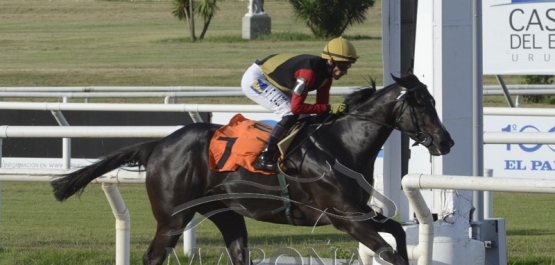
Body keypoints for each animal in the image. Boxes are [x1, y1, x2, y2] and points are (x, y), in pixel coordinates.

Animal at [50, 72, 454, 264]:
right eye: (421, 103)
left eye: (435, 100)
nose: (446, 141)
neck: (343, 144)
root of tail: (157, 145)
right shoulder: (345, 217)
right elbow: (388, 251)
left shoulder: (359, 211)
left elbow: (398, 234)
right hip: (173, 218)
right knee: (153, 256)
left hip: (226, 213)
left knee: (238, 252)